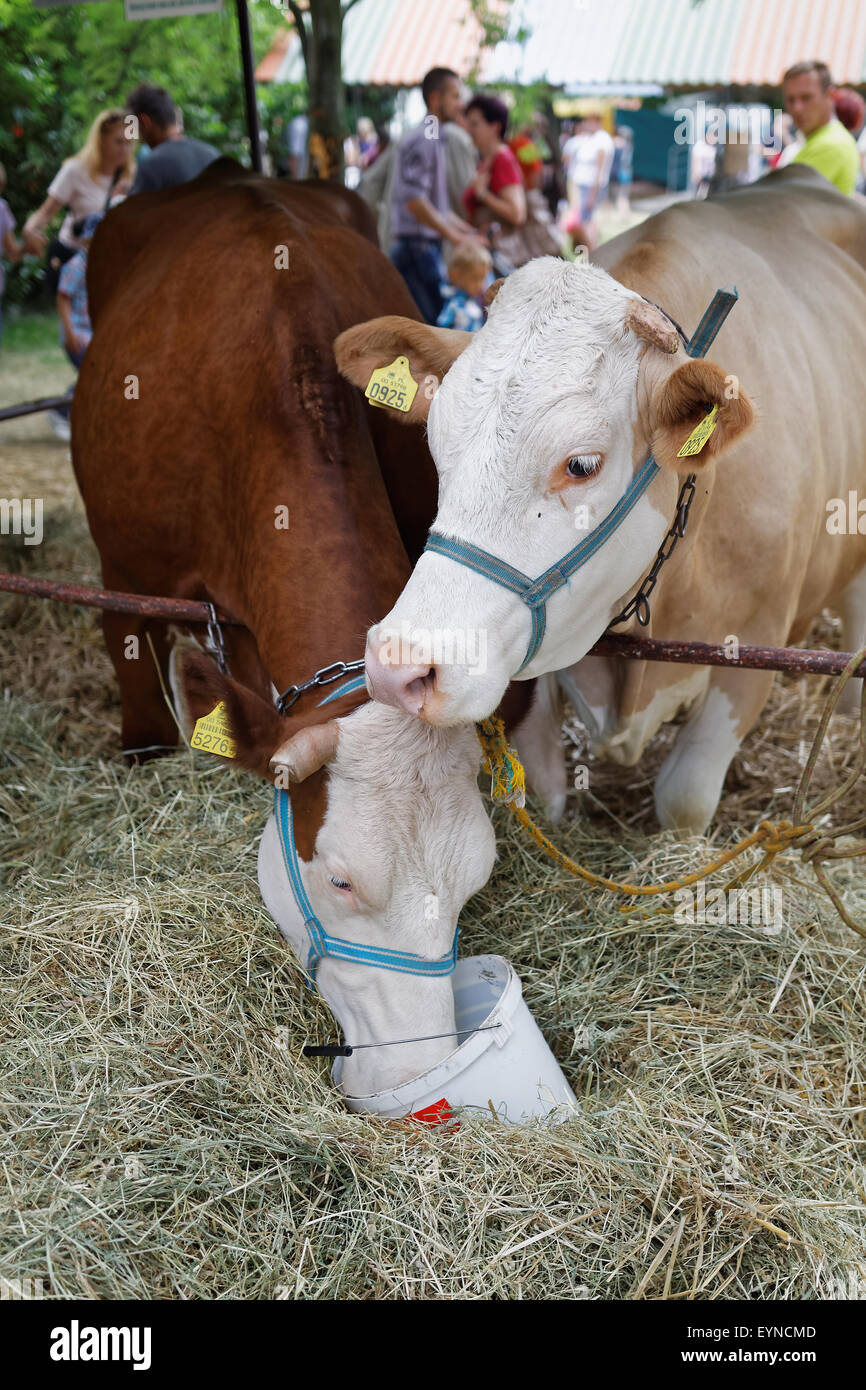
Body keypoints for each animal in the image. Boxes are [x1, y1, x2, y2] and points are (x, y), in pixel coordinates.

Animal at [335, 168, 866, 834]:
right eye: (435, 440)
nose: (396, 666)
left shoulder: (754, 646)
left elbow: (685, 799)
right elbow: (545, 787)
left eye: (582, 464)